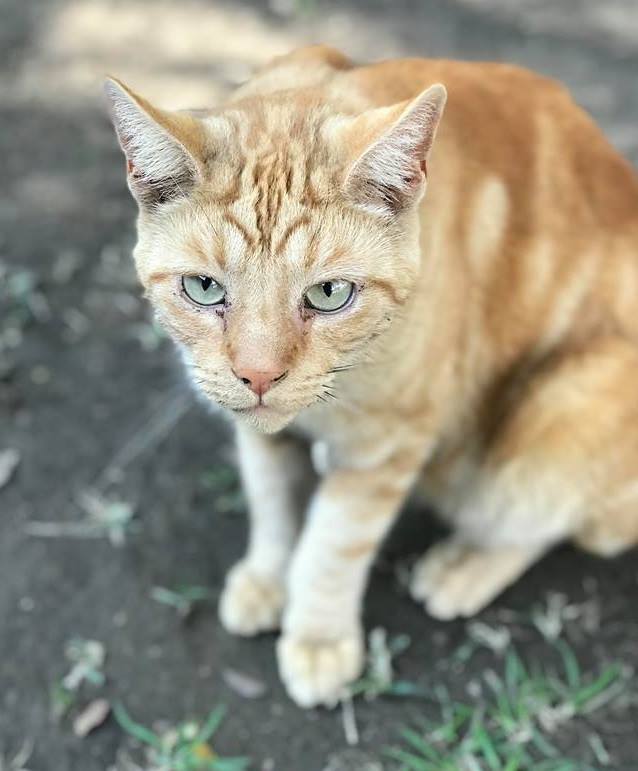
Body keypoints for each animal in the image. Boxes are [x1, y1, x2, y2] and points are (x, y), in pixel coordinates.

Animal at [105, 45, 638, 708]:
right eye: (204, 288)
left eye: (330, 294)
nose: (258, 374)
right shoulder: (259, 432)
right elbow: (272, 503)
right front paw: (267, 578)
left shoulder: (387, 448)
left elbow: (331, 546)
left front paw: (317, 638)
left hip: (561, 410)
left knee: (553, 520)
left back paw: (463, 568)